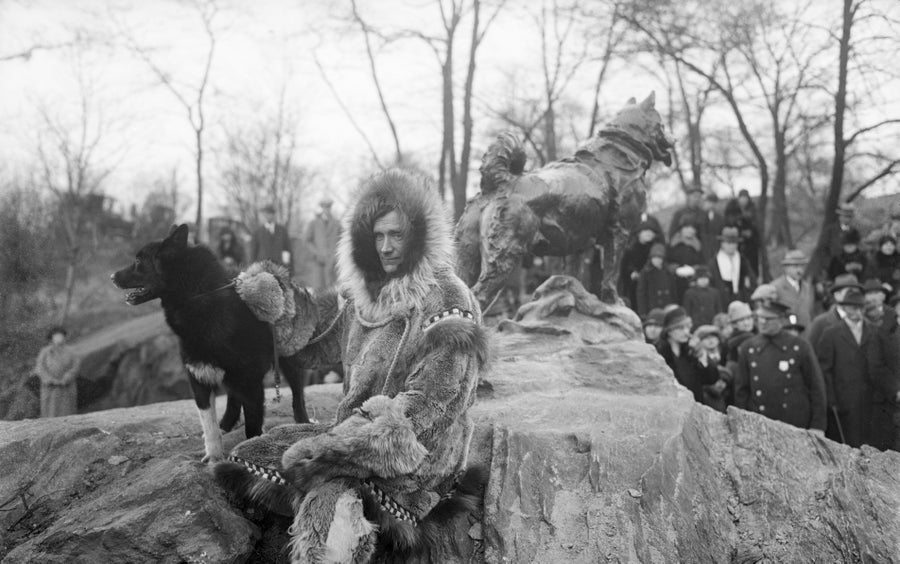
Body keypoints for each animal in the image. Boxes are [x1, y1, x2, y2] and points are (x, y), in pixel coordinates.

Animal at [111, 223, 310, 460]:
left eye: (139, 261)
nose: (111, 276)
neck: (202, 299)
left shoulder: (251, 383)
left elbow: (252, 428)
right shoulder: (199, 377)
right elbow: (209, 425)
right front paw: (214, 456)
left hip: (288, 360)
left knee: (297, 393)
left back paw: (304, 422)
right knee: (233, 399)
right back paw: (226, 423)